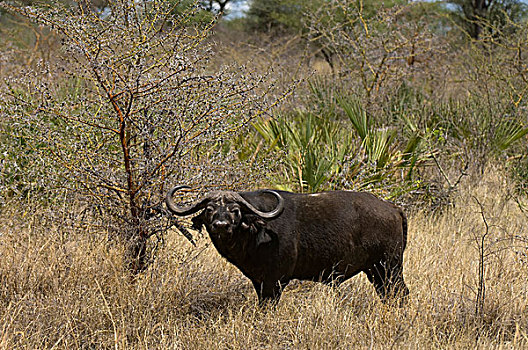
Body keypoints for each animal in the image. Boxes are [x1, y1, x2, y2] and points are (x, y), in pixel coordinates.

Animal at [165, 186, 408, 304]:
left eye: (235, 210)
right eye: (209, 210)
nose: (221, 225)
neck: (257, 232)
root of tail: (392, 208)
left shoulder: (275, 281)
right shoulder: (259, 281)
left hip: (390, 267)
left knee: (400, 293)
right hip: (376, 271)